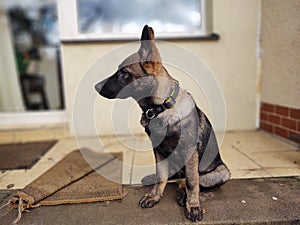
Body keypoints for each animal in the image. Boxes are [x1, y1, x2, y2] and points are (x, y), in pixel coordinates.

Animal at [96, 25, 230, 221]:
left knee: (189, 180)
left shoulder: (190, 153)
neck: (160, 108)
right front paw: (154, 196)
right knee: (174, 177)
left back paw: (184, 196)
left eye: (124, 73)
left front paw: (193, 205)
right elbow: (162, 175)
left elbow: (192, 182)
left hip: (220, 173)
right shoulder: (158, 151)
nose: (96, 87)